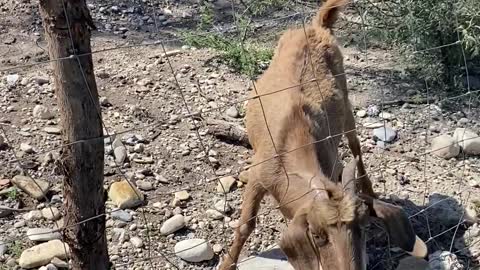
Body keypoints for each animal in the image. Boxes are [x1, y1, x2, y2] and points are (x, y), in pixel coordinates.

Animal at [218, 0, 428, 270]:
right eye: (317, 235)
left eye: (364, 227)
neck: (291, 145)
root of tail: (317, 25)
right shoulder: (258, 176)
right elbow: (245, 225)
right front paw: (226, 264)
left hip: (347, 105)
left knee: (356, 146)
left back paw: (370, 189)